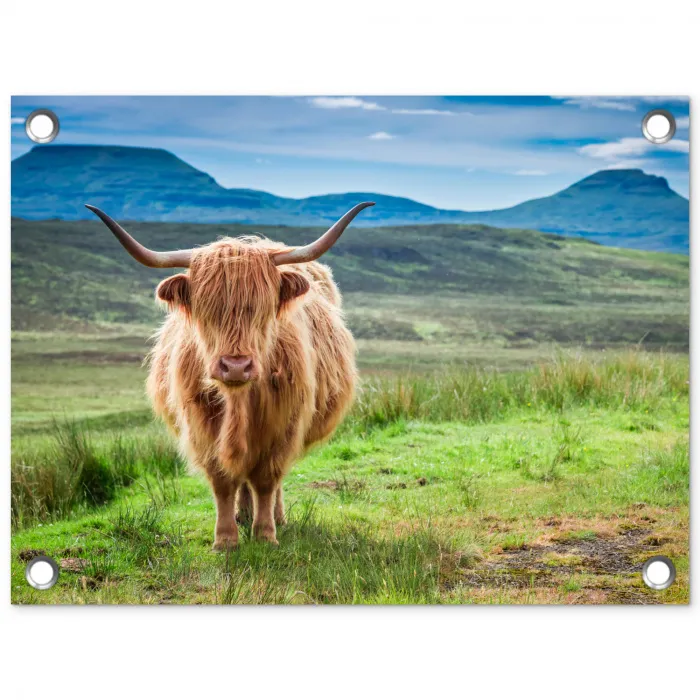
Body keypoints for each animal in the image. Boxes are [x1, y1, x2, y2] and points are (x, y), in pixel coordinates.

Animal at [86, 202, 373, 549]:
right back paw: (243, 514)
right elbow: (223, 480)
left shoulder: (283, 425)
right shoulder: (202, 425)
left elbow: (266, 479)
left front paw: (265, 534)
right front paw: (225, 538)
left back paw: (274, 517)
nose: (236, 366)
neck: (239, 401)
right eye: (206, 309)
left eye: (262, 308)